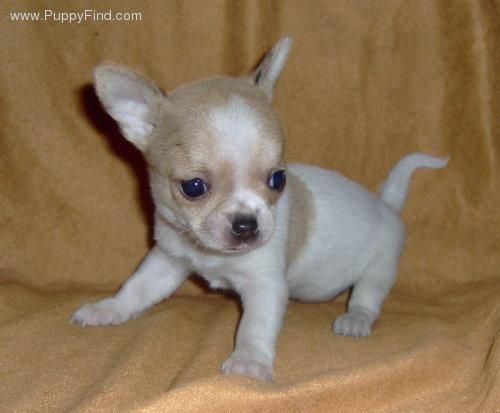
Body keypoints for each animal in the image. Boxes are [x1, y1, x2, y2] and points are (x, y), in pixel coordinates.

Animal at [73, 37, 450, 382]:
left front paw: (248, 361)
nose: (246, 224)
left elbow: (254, 326)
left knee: (368, 297)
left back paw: (355, 319)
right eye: (193, 187)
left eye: (278, 179)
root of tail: (385, 204)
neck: (211, 253)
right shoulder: (168, 261)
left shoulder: (264, 284)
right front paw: (108, 309)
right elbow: (136, 290)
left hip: (381, 266)